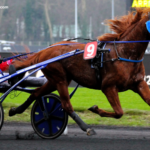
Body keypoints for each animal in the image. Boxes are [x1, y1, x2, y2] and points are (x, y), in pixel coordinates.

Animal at [8, 7, 150, 135]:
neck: (123, 53)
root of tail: (46, 49)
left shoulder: (139, 83)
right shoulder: (108, 86)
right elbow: (119, 112)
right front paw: (95, 108)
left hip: (55, 80)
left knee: (36, 93)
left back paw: (15, 110)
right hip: (59, 79)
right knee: (66, 105)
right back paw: (86, 127)